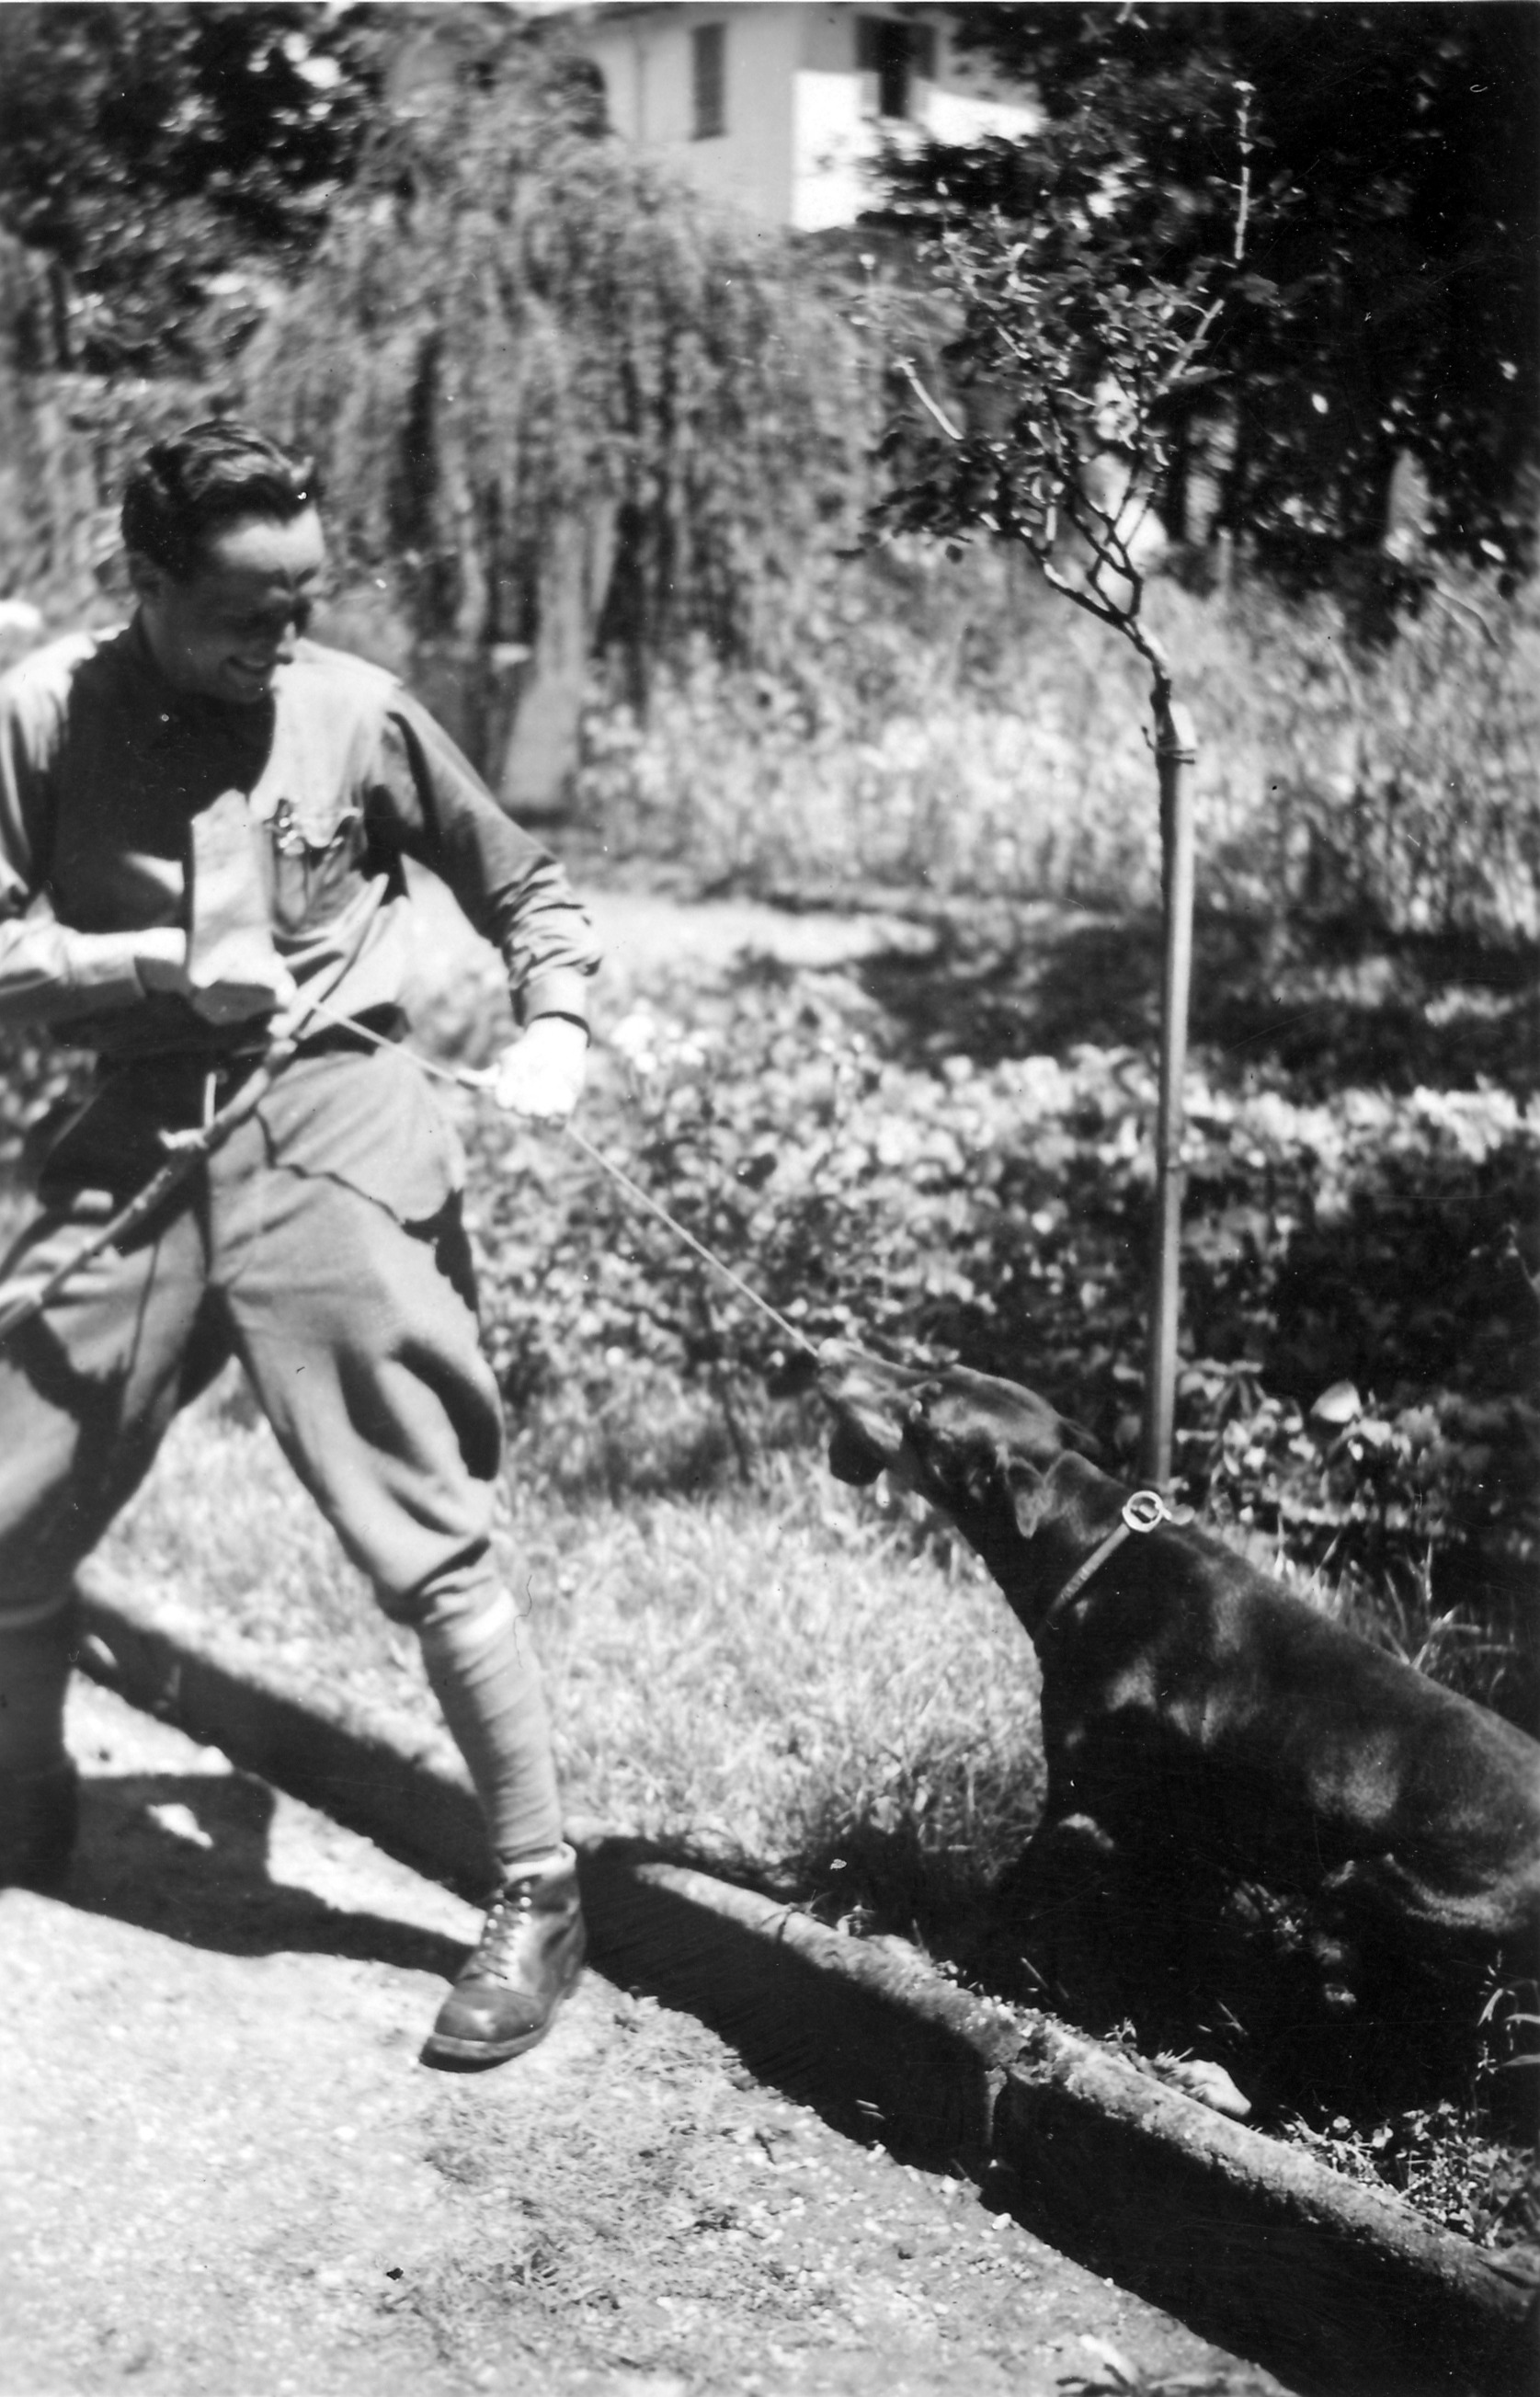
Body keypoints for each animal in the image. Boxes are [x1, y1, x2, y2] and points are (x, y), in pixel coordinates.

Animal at [819, 1342, 1540, 2033]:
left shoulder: (1079, 1803)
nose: (828, 1353)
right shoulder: (1180, 1846)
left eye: (921, 1407)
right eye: (937, 1370)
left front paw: (939, 1958)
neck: (1092, 1555)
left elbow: (1006, 1902)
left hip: (1369, 1886)